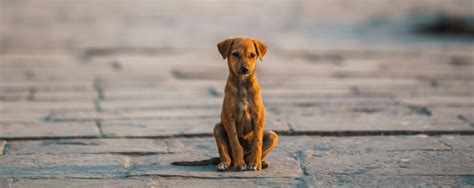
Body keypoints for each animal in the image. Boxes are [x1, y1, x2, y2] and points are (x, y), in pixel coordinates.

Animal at [172, 37, 278, 172]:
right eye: (235, 54)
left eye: (252, 55)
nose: (245, 69)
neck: (242, 84)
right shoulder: (229, 117)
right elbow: (235, 142)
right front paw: (240, 164)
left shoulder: (258, 116)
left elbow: (257, 142)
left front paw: (255, 163)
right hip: (217, 129)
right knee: (226, 155)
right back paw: (225, 163)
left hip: (272, 135)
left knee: (252, 153)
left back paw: (258, 162)